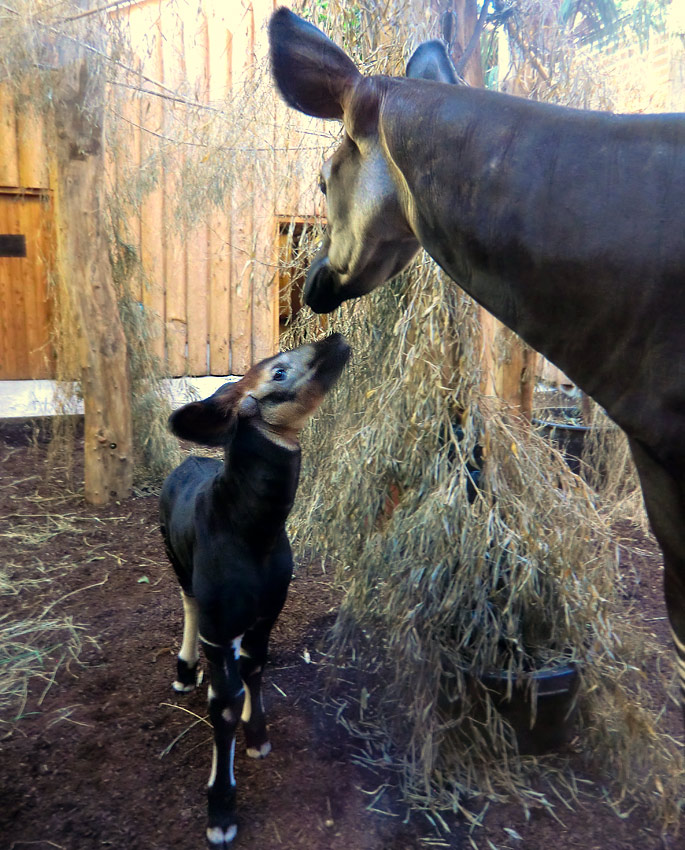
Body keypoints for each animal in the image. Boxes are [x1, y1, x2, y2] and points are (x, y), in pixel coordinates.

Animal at [160, 332, 350, 840]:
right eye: (279, 372)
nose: (337, 338)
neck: (255, 532)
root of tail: (189, 459)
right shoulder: (219, 627)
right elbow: (223, 704)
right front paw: (221, 812)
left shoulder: (267, 612)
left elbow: (255, 668)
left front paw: (258, 736)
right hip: (175, 559)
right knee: (186, 599)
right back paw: (185, 671)